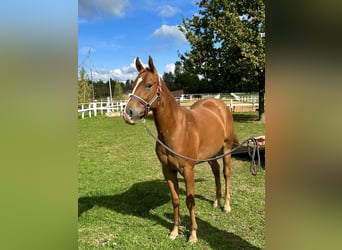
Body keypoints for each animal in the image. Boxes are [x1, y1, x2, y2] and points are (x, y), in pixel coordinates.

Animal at [123, 55, 238, 243]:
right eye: (133, 84)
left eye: (148, 84)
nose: (128, 113)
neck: (176, 128)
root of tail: (220, 105)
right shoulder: (168, 170)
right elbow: (176, 200)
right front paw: (174, 232)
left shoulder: (188, 170)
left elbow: (190, 202)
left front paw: (192, 235)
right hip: (211, 155)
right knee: (216, 172)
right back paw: (216, 201)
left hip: (226, 149)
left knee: (226, 173)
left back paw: (226, 206)